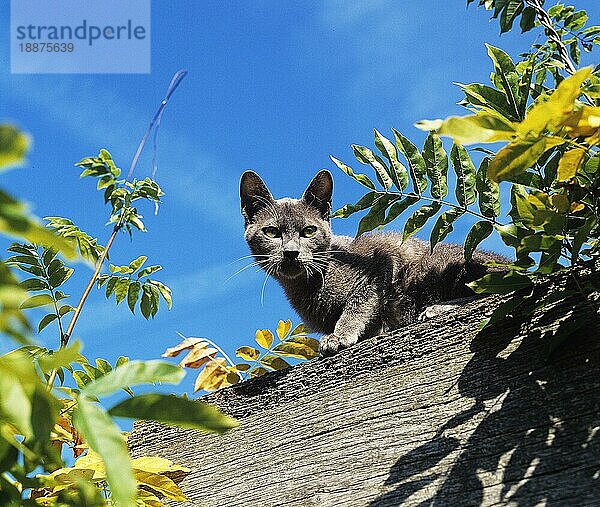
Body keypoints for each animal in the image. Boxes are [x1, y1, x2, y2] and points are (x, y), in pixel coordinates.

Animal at [239, 171, 506, 358]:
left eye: (308, 231)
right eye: (272, 232)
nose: (291, 252)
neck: (308, 285)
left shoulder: (379, 263)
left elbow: (357, 304)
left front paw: (339, 335)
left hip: (442, 264)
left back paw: (436, 308)